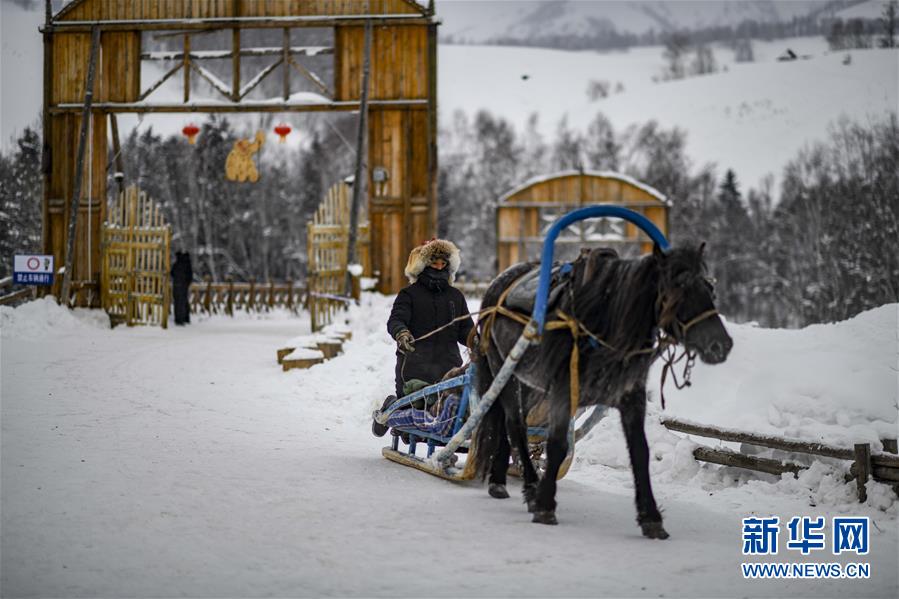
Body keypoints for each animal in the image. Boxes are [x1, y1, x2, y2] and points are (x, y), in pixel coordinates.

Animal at [470, 243, 733, 539]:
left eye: (709, 288)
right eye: (679, 289)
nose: (721, 344)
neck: (604, 324)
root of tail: (496, 284)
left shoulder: (631, 396)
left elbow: (640, 451)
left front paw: (650, 516)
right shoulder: (564, 390)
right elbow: (557, 445)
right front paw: (545, 504)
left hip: (525, 381)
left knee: (507, 423)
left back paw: (499, 480)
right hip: (503, 367)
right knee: (515, 425)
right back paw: (530, 486)